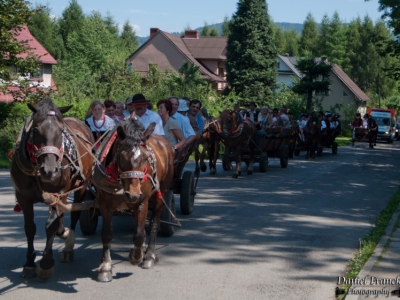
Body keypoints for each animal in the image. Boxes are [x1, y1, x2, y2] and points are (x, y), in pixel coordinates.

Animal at [9, 98, 94, 278]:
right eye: (35, 129)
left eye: (61, 131)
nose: (49, 170)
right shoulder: (23, 197)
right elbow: (30, 228)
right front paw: (29, 263)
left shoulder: (60, 192)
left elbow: (51, 226)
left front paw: (46, 263)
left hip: (81, 186)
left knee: (74, 213)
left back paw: (68, 246)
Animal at [92, 119, 173, 282]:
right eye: (122, 157)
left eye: (146, 157)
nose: (134, 194)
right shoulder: (104, 204)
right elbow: (107, 233)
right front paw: (105, 267)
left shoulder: (142, 202)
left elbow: (140, 234)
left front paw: (136, 256)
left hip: (162, 193)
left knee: (154, 223)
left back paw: (149, 255)